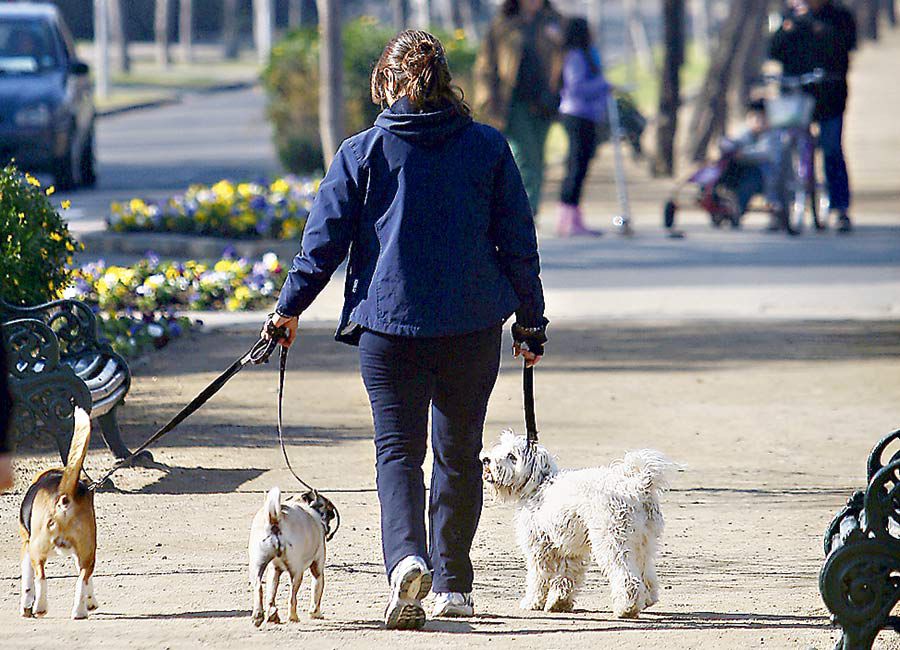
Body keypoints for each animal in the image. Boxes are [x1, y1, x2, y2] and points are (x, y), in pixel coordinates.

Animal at [19, 404, 98, 616]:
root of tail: (65, 496)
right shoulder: (81, 555)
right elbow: (88, 582)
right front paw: (91, 602)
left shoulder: (27, 546)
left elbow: (28, 580)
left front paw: (26, 606)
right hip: (88, 551)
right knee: (83, 579)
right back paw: (80, 612)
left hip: (37, 548)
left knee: (41, 578)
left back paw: (40, 607)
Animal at [248, 486, 340, 624]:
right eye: (329, 512)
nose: (328, 526)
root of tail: (276, 520)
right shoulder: (318, 569)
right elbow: (316, 594)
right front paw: (315, 613)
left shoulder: (274, 570)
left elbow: (271, 594)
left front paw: (271, 612)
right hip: (297, 572)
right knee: (292, 597)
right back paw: (293, 617)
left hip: (257, 566)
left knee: (258, 586)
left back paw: (260, 616)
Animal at [478, 430, 676, 616]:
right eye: (500, 448)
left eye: (512, 456)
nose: (485, 459)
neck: (538, 485)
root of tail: (637, 486)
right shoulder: (570, 549)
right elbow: (567, 577)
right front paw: (559, 602)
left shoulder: (539, 548)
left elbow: (539, 578)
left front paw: (532, 602)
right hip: (643, 543)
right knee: (646, 574)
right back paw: (647, 599)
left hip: (612, 542)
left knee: (627, 578)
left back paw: (627, 608)